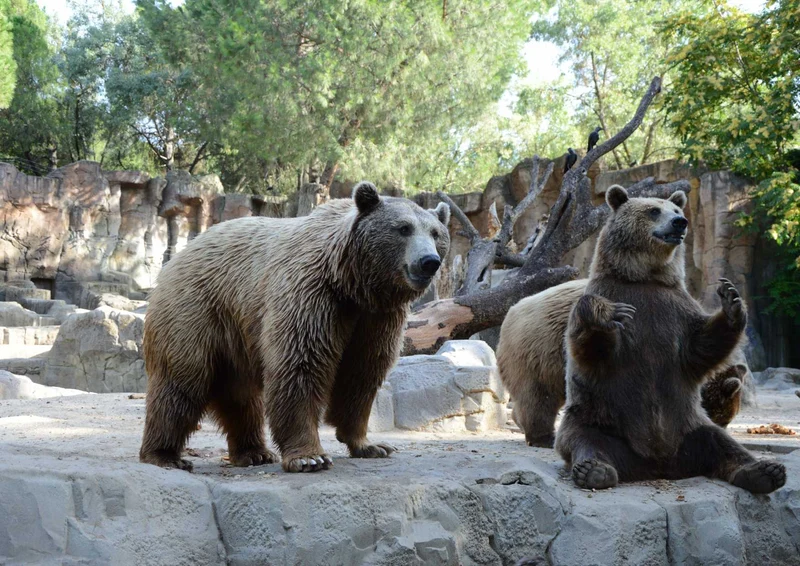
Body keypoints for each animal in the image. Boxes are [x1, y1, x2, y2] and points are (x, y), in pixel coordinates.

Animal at [139, 182, 450, 473]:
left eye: (435, 233)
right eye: (403, 228)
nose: (428, 262)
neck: (352, 282)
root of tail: (178, 257)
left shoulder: (377, 318)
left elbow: (362, 373)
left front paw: (371, 445)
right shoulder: (311, 295)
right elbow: (301, 364)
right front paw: (310, 457)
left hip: (235, 334)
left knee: (241, 395)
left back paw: (253, 452)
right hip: (196, 311)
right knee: (181, 382)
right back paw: (164, 455)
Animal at [555, 184, 785, 493]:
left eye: (676, 209)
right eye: (653, 210)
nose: (680, 223)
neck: (646, 278)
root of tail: (658, 464)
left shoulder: (675, 310)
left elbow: (700, 347)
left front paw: (731, 299)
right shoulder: (616, 296)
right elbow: (593, 350)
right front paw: (606, 313)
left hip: (690, 425)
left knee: (722, 443)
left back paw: (765, 471)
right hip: (599, 417)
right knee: (585, 440)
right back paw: (594, 470)